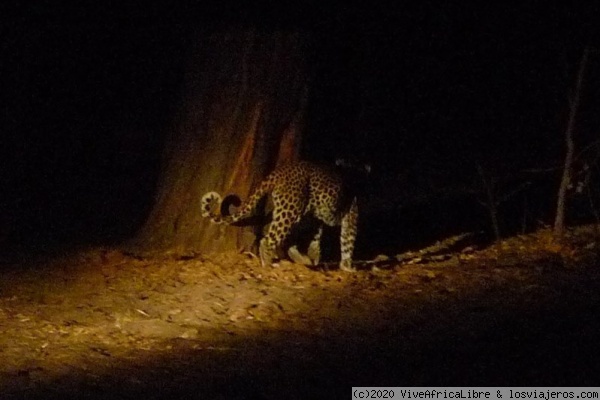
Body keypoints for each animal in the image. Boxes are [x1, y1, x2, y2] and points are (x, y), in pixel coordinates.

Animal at [203, 160, 370, 272]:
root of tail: (278, 171)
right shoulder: (352, 214)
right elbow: (348, 240)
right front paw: (347, 266)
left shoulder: (317, 218)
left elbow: (316, 239)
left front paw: (315, 258)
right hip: (290, 211)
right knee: (269, 239)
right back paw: (269, 264)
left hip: (297, 212)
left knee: (287, 240)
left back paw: (300, 259)